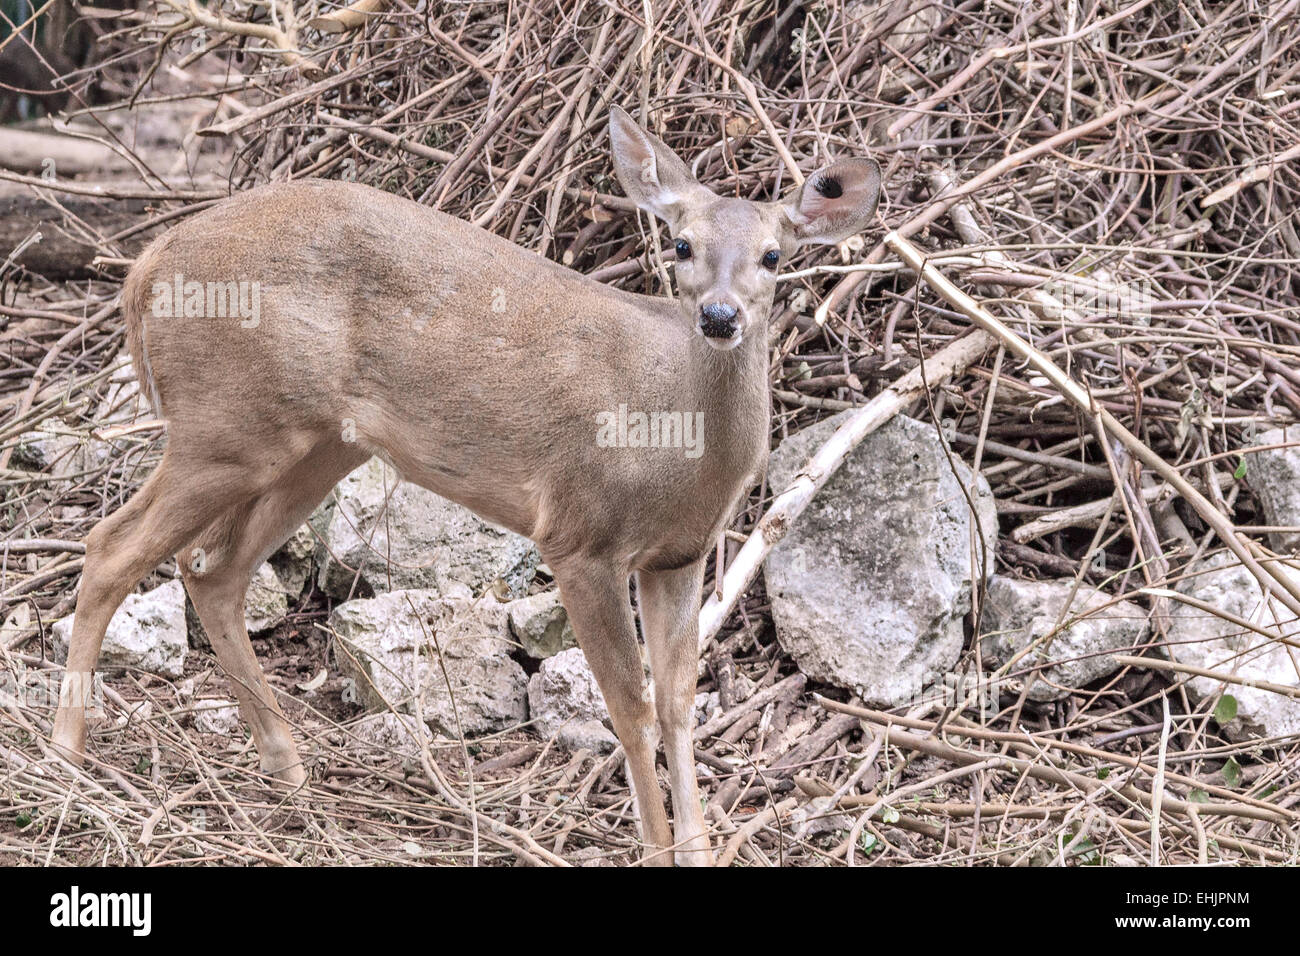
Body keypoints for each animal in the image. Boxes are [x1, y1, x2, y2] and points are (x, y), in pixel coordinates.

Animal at [49, 105, 880, 866]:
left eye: (773, 255)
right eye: (682, 245)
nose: (718, 316)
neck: (673, 436)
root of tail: (146, 264)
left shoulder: (680, 554)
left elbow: (678, 706)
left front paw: (699, 850)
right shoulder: (580, 534)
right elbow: (631, 710)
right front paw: (653, 849)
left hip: (315, 445)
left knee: (212, 569)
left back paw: (287, 768)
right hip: (224, 423)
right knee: (111, 546)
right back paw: (66, 755)